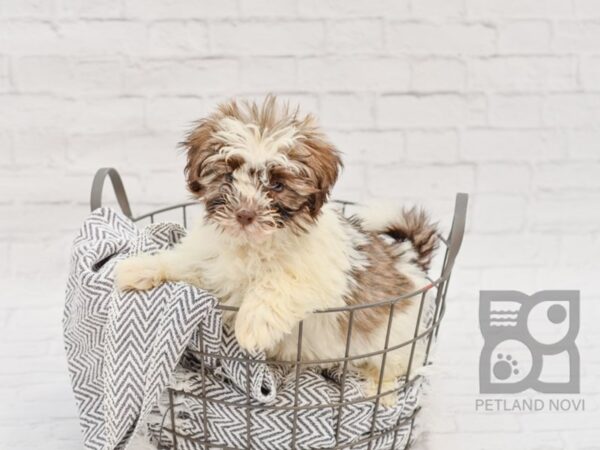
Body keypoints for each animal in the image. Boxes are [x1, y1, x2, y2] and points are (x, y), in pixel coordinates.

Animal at [116, 96, 436, 406]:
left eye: (278, 185)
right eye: (228, 177)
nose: (245, 214)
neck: (252, 244)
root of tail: (411, 260)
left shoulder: (321, 277)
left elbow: (280, 283)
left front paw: (252, 325)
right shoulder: (211, 265)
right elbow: (184, 263)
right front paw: (138, 268)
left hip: (397, 338)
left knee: (397, 366)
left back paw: (381, 390)